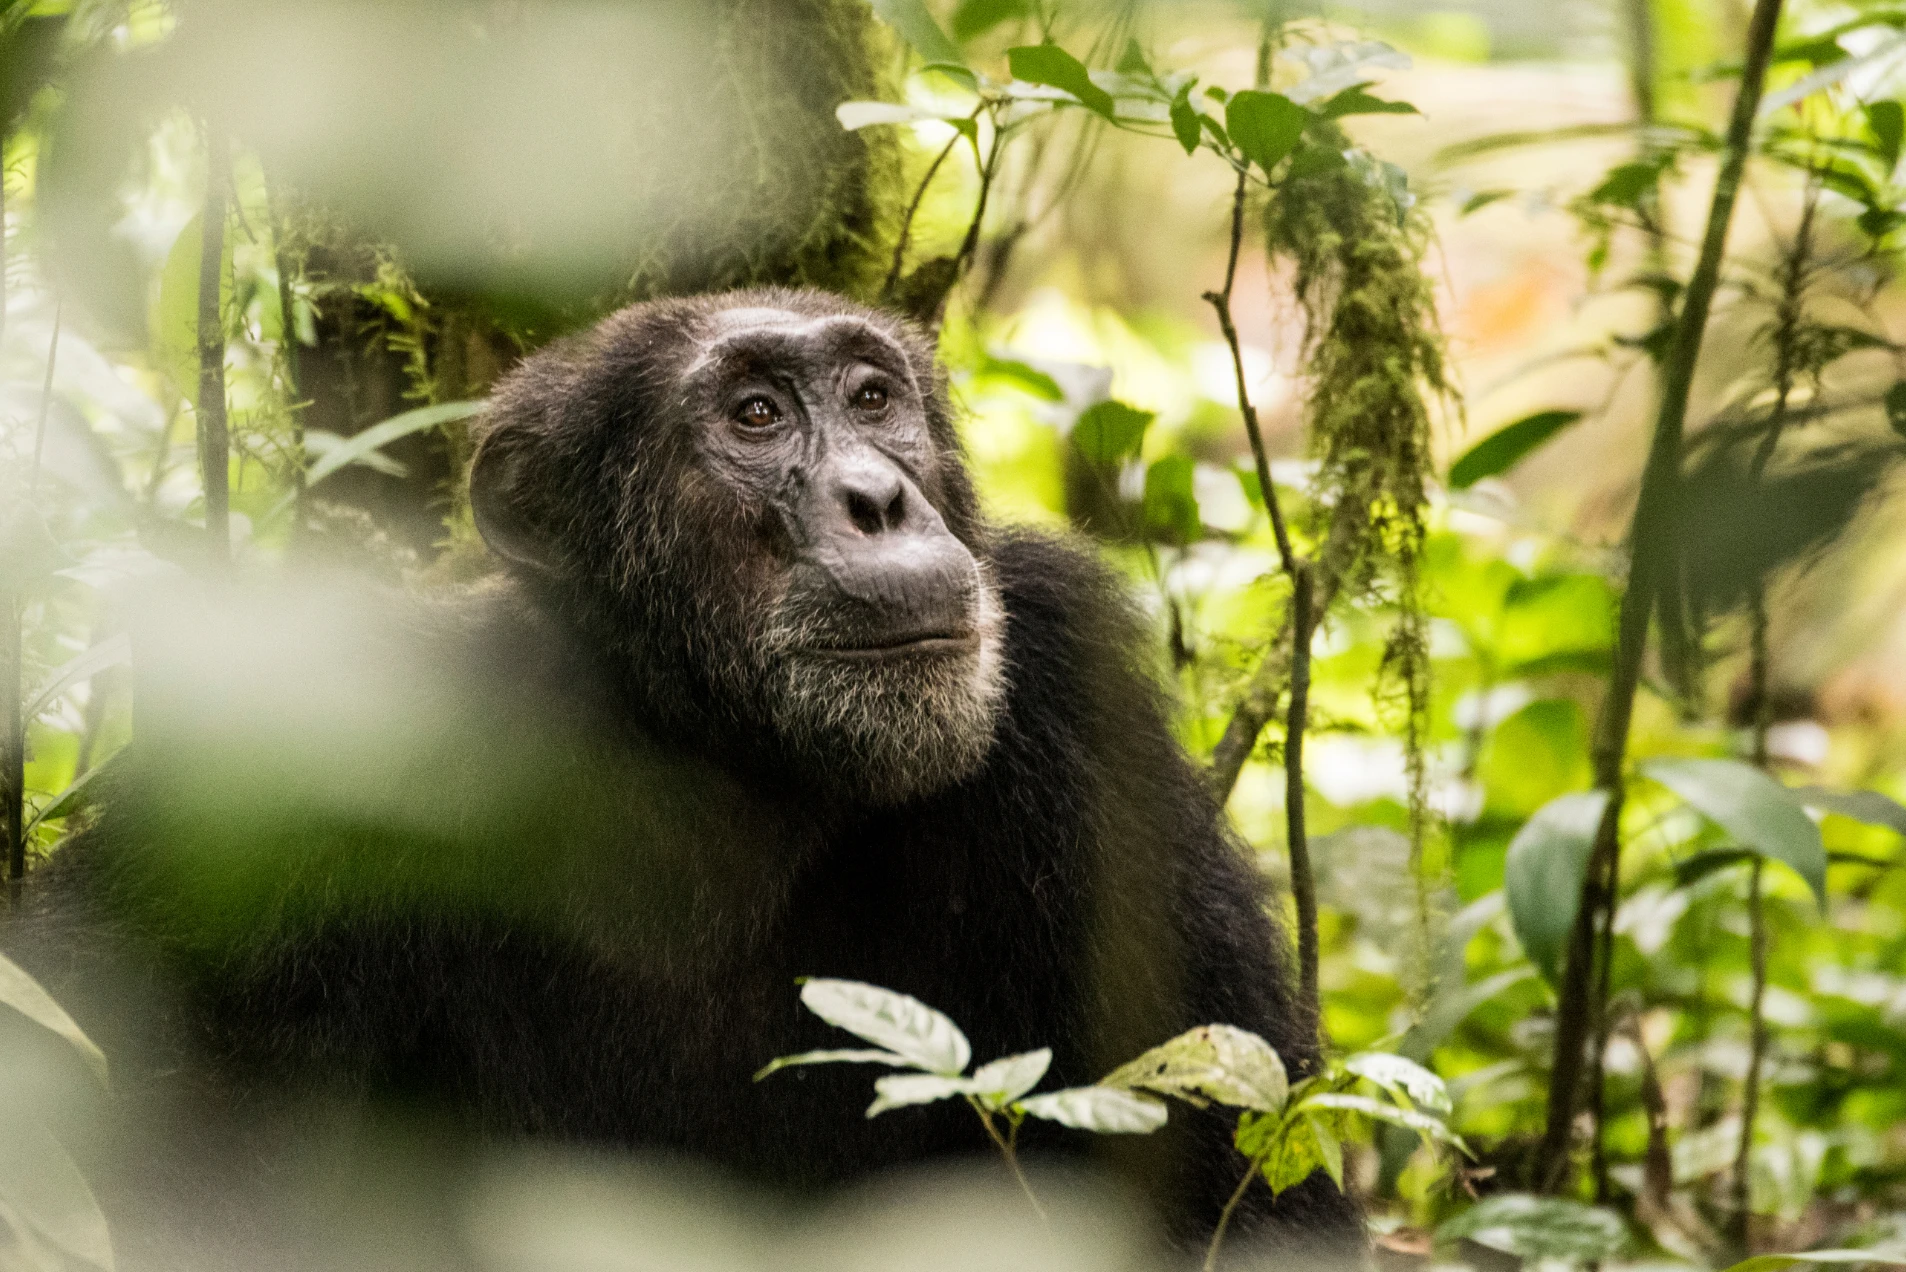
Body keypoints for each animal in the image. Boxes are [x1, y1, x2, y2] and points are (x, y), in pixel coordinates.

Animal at [4, 288, 1361, 1264]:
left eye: (874, 397)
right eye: (755, 417)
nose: (877, 496)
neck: (717, 758)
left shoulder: (1074, 696)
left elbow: (1235, 1179)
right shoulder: (307, 747)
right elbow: (105, 1069)